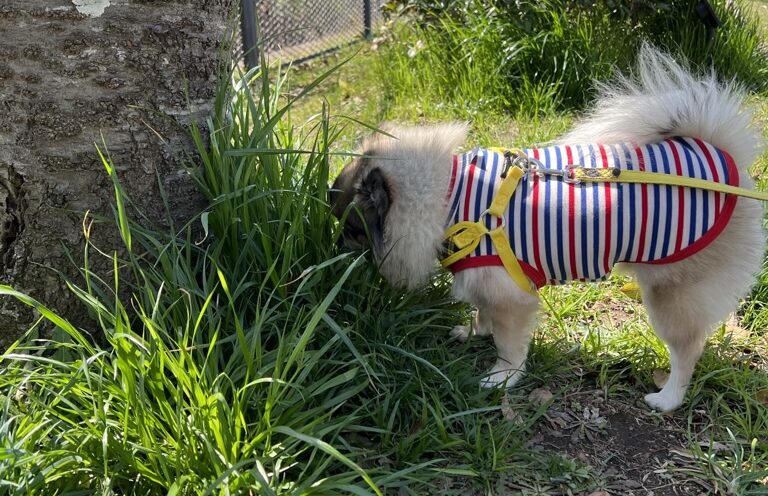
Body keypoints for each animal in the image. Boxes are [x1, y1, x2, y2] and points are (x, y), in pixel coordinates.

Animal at [332, 45, 768, 410]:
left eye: (352, 229)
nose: (334, 248)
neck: (448, 197)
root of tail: (722, 158)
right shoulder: (484, 282)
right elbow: (482, 312)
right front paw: (474, 331)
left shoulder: (510, 296)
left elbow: (508, 344)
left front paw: (501, 378)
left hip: (671, 295)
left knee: (687, 349)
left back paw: (668, 398)